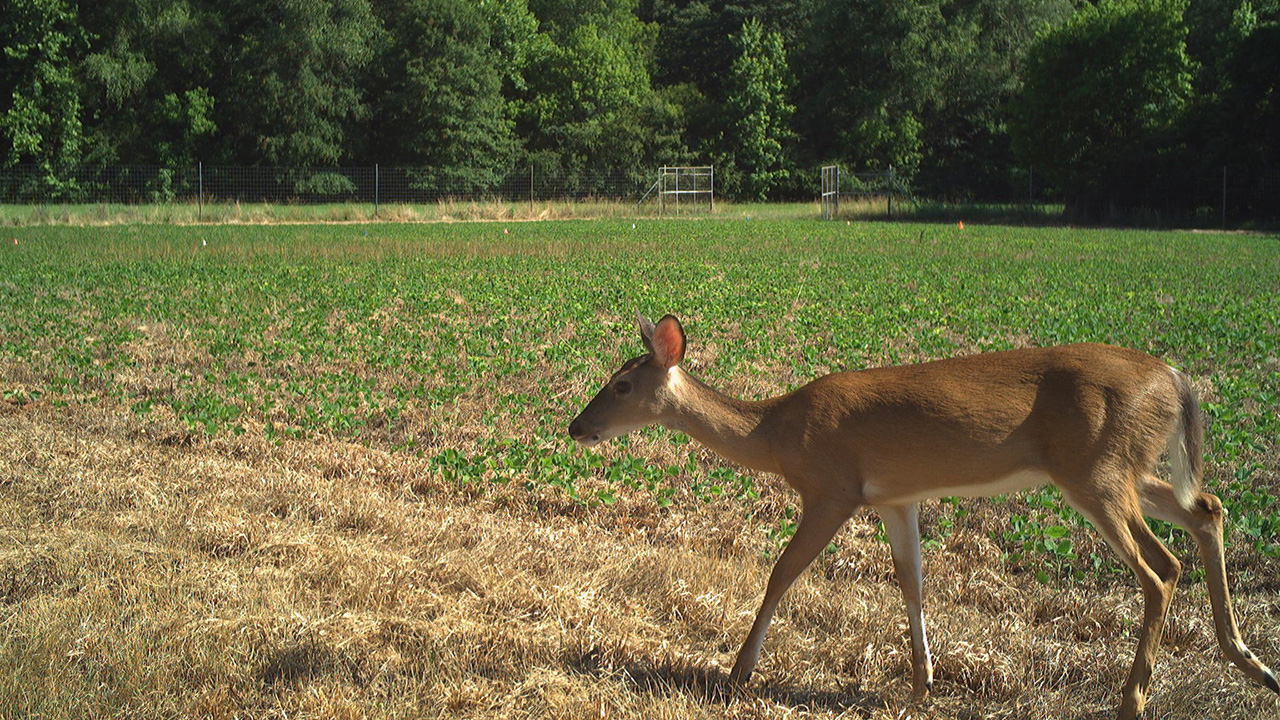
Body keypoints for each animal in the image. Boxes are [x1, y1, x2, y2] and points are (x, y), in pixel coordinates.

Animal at [570, 313, 1280, 717]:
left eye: (621, 385)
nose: (576, 427)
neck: (777, 433)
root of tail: (1176, 379)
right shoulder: (894, 497)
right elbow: (911, 583)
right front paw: (922, 683)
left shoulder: (832, 489)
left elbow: (781, 574)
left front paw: (739, 671)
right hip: (1127, 468)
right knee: (1209, 508)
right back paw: (1252, 662)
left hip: (1096, 474)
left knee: (1161, 568)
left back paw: (1133, 700)